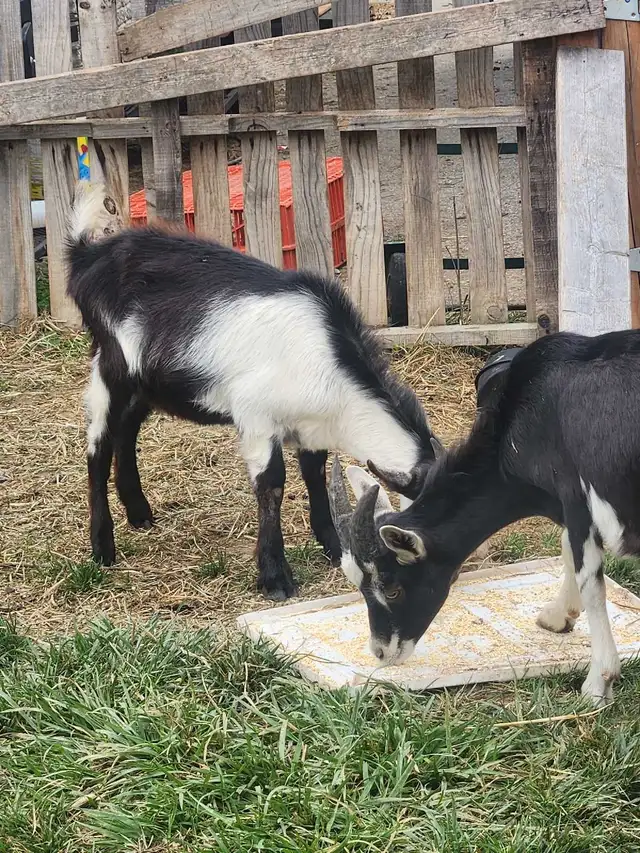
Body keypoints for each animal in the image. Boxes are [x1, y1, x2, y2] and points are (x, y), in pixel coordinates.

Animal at [66, 181, 437, 601]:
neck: (330, 357)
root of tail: (87, 255)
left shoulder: (311, 427)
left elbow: (314, 473)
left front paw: (329, 544)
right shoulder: (257, 417)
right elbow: (271, 484)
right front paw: (275, 578)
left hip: (149, 382)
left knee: (126, 430)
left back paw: (139, 512)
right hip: (111, 363)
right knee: (98, 444)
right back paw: (102, 547)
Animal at [329, 330, 640, 706]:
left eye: (392, 590)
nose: (380, 652)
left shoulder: (577, 498)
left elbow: (589, 580)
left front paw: (598, 683)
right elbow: (568, 551)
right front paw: (557, 617)